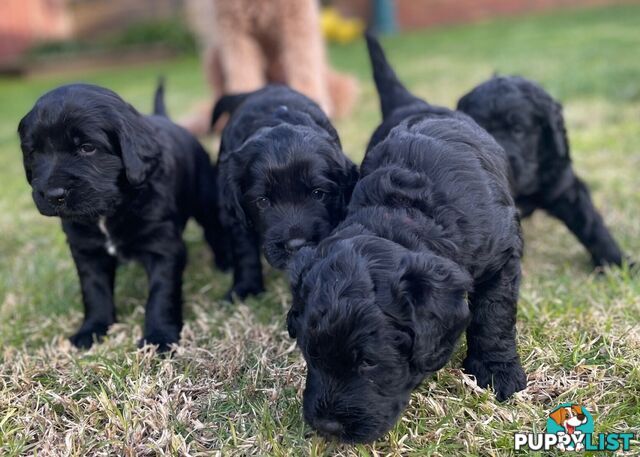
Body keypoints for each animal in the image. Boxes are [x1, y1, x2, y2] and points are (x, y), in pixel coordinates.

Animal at [18, 80, 229, 350]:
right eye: (34, 152)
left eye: (87, 148)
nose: (54, 195)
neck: (108, 211)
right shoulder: (87, 250)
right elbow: (94, 291)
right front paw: (92, 330)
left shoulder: (163, 247)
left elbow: (161, 294)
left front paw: (159, 338)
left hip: (206, 199)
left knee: (215, 230)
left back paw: (224, 263)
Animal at [212, 84, 358, 300]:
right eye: (263, 201)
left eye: (318, 193)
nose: (296, 245)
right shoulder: (236, 217)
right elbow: (244, 250)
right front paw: (246, 289)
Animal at [288, 34, 528, 442]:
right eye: (310, 352)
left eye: (369, 361)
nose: (327, 427)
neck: (403, 212)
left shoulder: (502, 254)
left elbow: (493, 314)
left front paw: (497, 370)